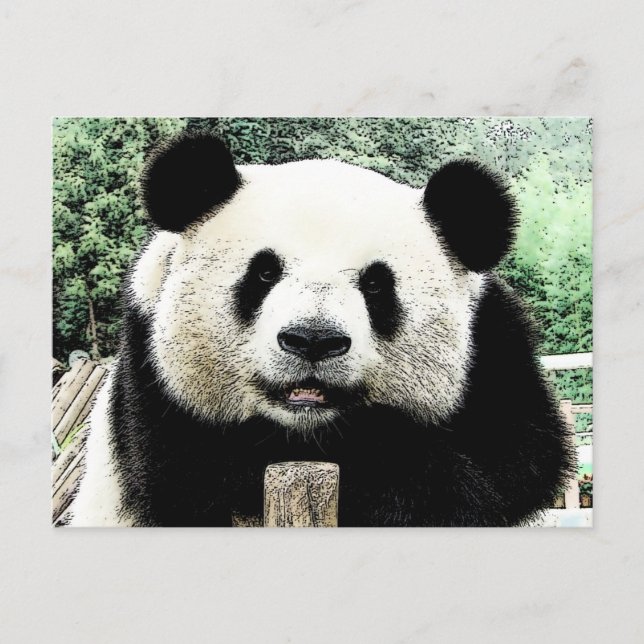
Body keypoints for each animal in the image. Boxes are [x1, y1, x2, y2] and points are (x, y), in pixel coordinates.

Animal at [68, 131, 576, 527]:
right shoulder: (150, 378)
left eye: (376, 284)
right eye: (264, 273)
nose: (313, 341)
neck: (308, 430)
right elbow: (193, 474)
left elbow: (510, 467)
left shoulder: (492, 352)